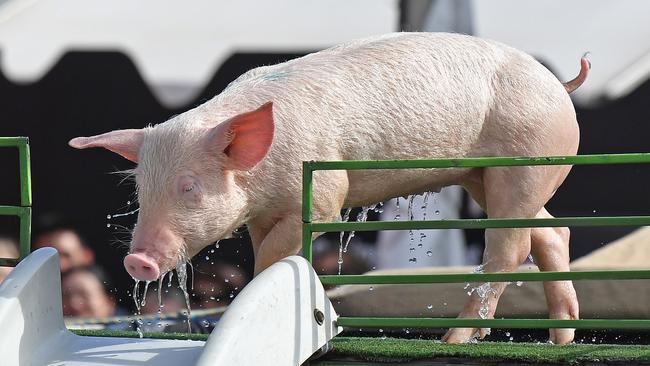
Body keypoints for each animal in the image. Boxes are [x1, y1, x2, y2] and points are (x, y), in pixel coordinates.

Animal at [69, 33, 588, 344]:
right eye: (140, 190)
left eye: (189, 187)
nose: (137, 260)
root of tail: (558, 84)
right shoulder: (259, 211)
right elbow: (263, 246)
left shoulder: (323, 192)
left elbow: (278, 251)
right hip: (486, 176)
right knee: (551, 232)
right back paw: (561, 337)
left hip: (522, 161)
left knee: (509, 245)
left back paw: (455, 339)